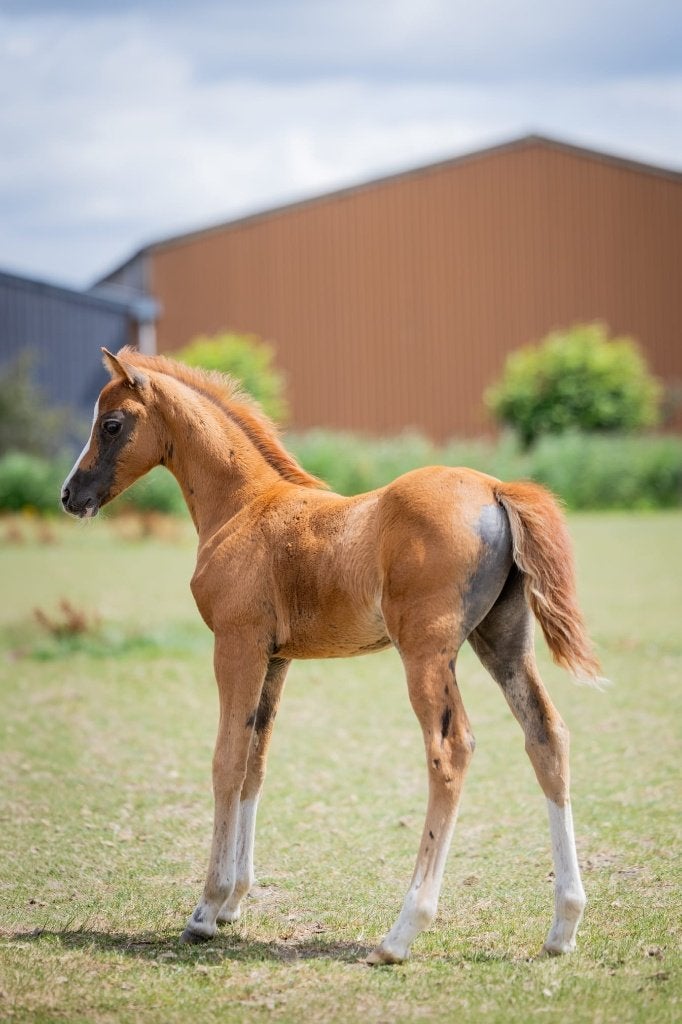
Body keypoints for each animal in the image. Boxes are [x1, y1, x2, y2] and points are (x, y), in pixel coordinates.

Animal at [61, 346, 600, 964]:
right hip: (503, 640)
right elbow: (255, 765)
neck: (243, 507)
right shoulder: (276, 658)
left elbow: (226, 763)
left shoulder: (236, 645)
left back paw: (400, 934)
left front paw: (205, 910)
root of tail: (494, 489)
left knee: (450, 750)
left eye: (111, 424)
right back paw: (563, 926)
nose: (70, 495)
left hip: (426, 651)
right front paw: (234, 903)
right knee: (546, 735)